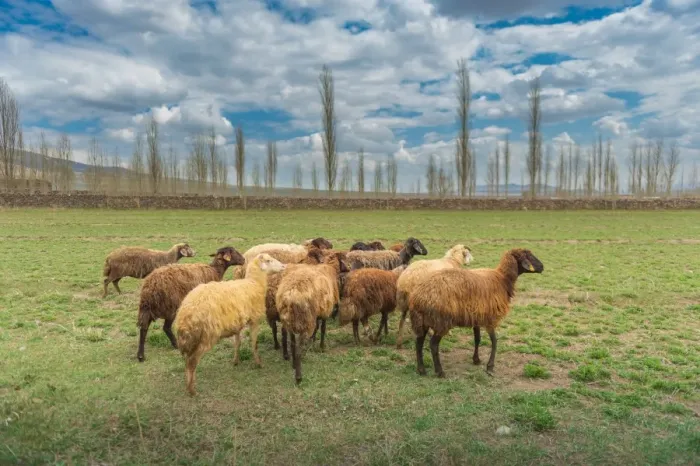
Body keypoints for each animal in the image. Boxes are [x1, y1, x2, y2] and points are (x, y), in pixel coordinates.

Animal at [174, 253, 286, 396]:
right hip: (207, 336)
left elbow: (237, 343)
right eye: (268, 260)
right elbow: (254, 344)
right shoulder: (255, 320)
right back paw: (192, 390)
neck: (254, 283)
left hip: (192, 339)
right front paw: (259, 363)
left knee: (187, 361)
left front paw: (235, 361)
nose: (284, 266)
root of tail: (186, 313)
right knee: (192, 362)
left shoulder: (237, 324)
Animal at [276, 251, 348, 384]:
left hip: (290, 321)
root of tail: (290, 295)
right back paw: (298, 377)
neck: (330, 268)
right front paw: (321, 347)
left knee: (292, 344)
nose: (349, 269)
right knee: (298, 349)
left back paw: (293, 364)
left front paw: (313, 340)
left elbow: (317, 327)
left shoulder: (318, 313)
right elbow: (323, 329)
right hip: (305, 320)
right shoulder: (325, 311)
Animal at [408, 248, 544, 378]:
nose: (542, 267)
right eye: (528, 256)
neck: (502, 279)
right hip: (441, 321)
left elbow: (477, 339)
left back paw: (421, 370)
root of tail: (419, 296)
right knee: (433, 345)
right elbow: (494, 341)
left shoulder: (477, 317)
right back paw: (439, 372)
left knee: (418, 343)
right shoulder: (490, 318)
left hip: (422, 321)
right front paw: (490, 367)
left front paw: (476, 359)